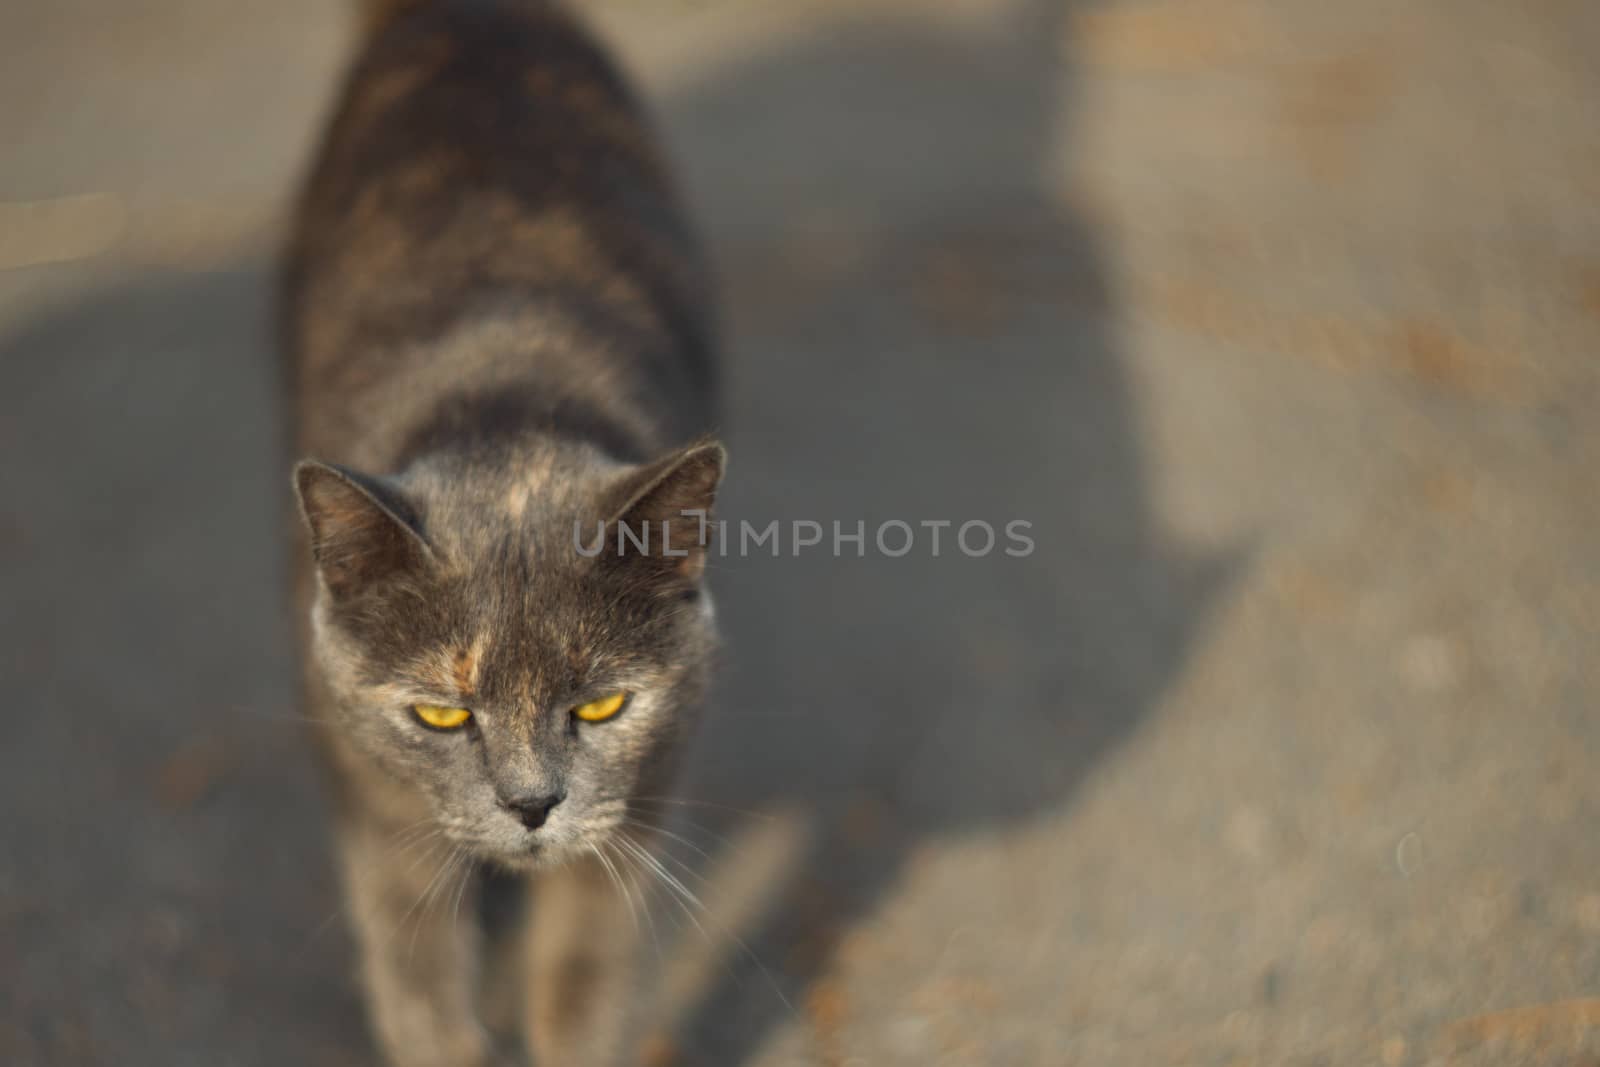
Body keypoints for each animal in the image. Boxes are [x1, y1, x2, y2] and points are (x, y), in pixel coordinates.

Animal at [281, 4, 726, 1062]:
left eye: (603, 706)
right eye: (442, 715)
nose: (531, 805)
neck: (504, 398)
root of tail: (462, 15)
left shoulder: (642, 788)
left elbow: (584, 977)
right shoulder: (371, 792)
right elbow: (413, 966)